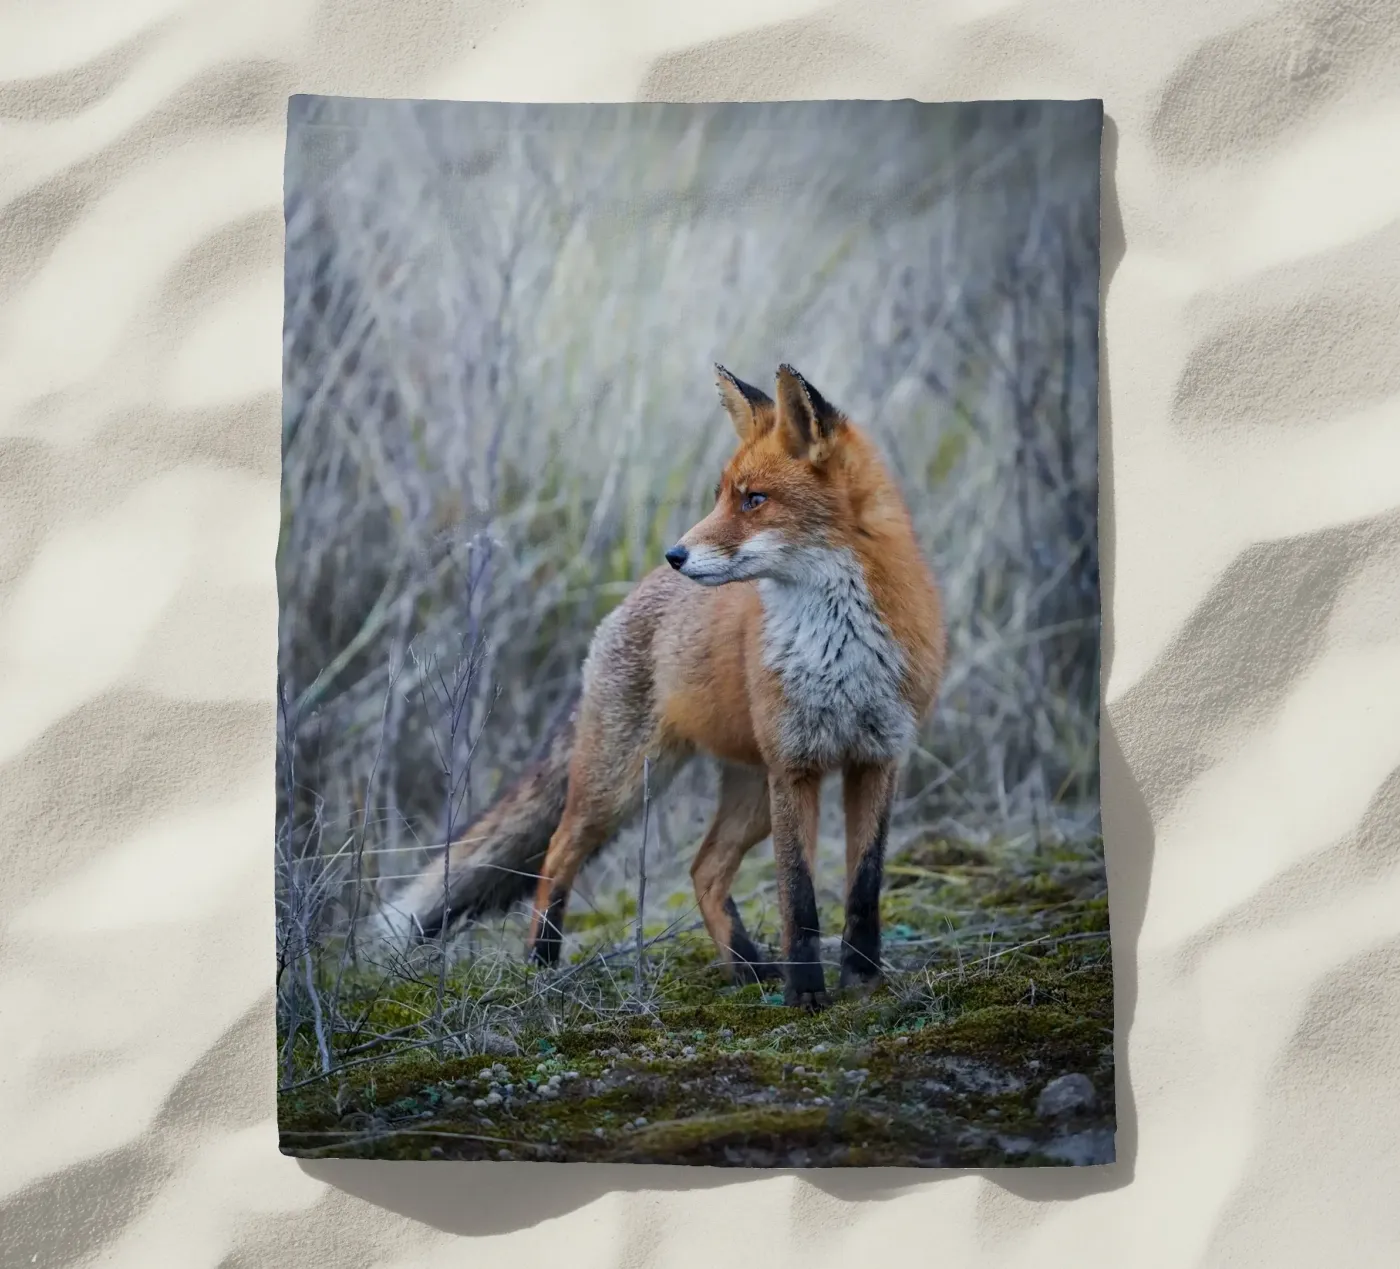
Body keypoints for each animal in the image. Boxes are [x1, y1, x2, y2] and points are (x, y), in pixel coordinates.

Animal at [381, 364, 945, 1008]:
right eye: (722, 495)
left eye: (754, 499)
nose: (676, 553)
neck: (839, 648)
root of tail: (630, 597)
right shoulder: (795, 766)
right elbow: (798, 900)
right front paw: (806, 996)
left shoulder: (877, 758)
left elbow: (864, 887)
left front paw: (864, 981)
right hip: (623, 785)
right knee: (557, 853)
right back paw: (542, 964)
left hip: (750, 796)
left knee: (703, 869)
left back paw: (747, 967)